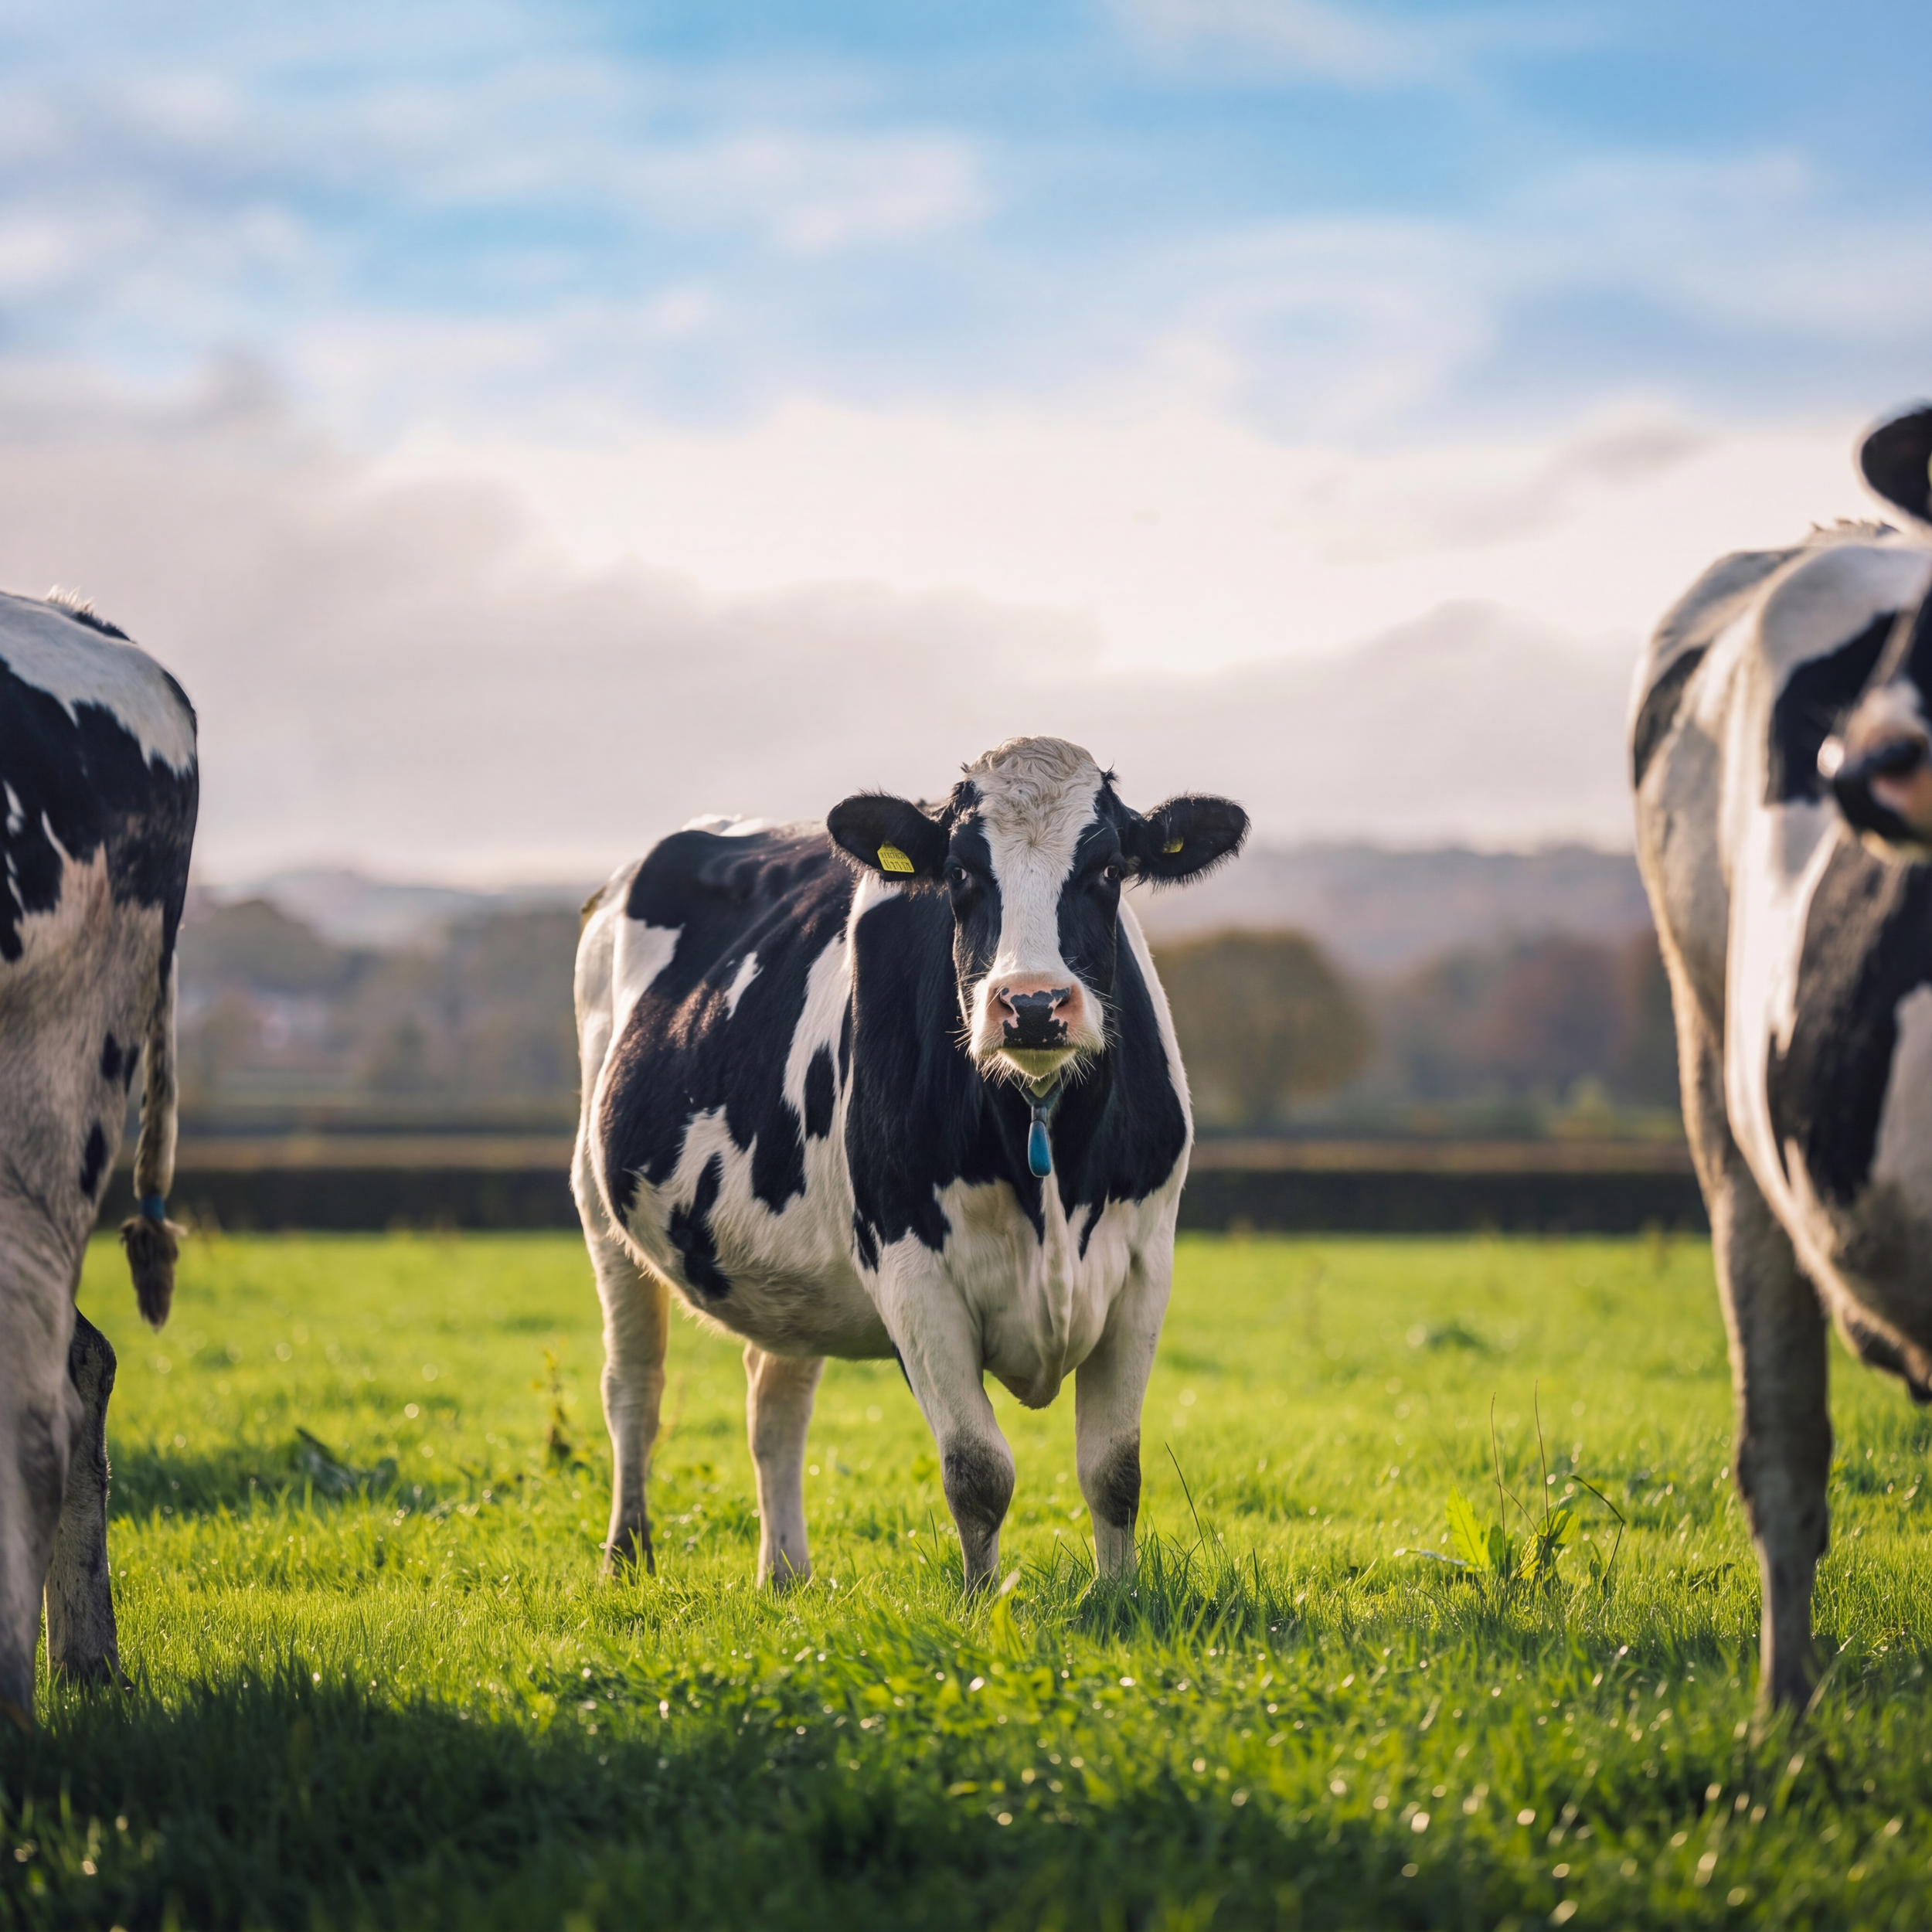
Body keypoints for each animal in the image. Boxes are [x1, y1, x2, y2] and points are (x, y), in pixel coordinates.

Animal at [572, 737, 1247, 1593]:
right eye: (959, 873)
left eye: (1108, 868)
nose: (1031, 1004)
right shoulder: (911, 1272)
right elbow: (977, 1471)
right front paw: (982, 1604)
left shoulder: (1142, 1266)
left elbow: (1114, 1470)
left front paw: (1118, 1596)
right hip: (600, 1212)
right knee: (634, 1388)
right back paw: (627, 1555)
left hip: (789, 1267)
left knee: (775, 1403)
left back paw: (786, 1575)